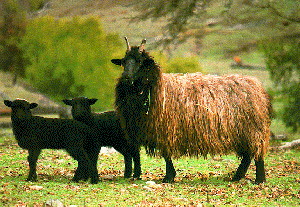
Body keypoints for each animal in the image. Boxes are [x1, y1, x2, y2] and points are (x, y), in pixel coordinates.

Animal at [111, 37, 274, 184]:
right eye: (123, 61)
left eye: (139, 61)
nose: (126, 77)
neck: (155, 86)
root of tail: (257, 87)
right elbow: (166, 155)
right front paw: (170, 176)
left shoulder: (165, 130)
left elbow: (166, 154)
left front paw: (168, 177)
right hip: (243, 133)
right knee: (247, 156)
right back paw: (237, 177)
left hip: (253, 130)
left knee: (257, 154)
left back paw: (259, 179)